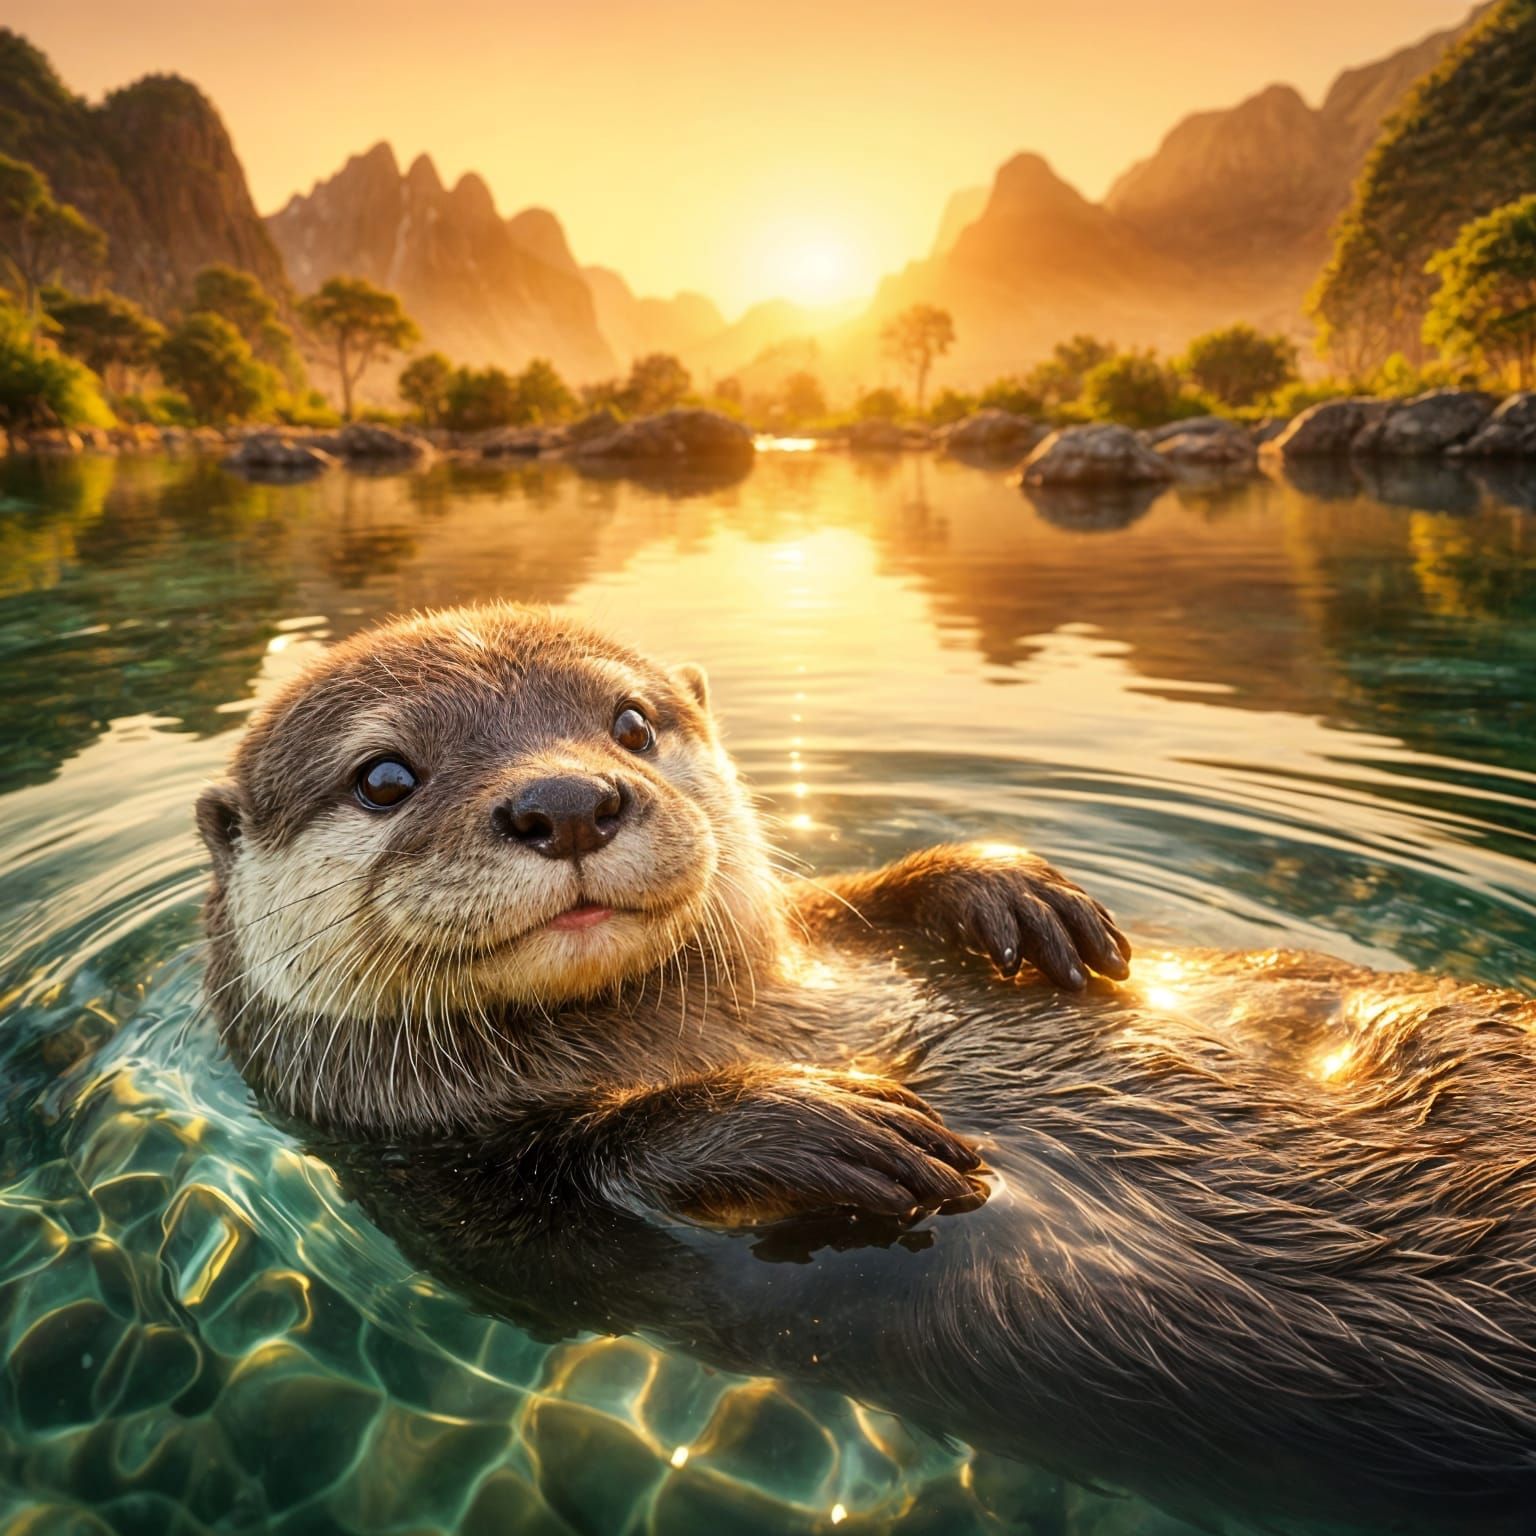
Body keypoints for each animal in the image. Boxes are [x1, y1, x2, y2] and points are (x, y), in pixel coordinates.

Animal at [197, 603, 1536, 1535]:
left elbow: (852, 900)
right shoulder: (427, 1185)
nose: (567, 798)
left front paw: (1000, 886)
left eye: (630, 722)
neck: (681, 1025)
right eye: (384, 776)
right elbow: (570, 1202)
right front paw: (811, 1121)